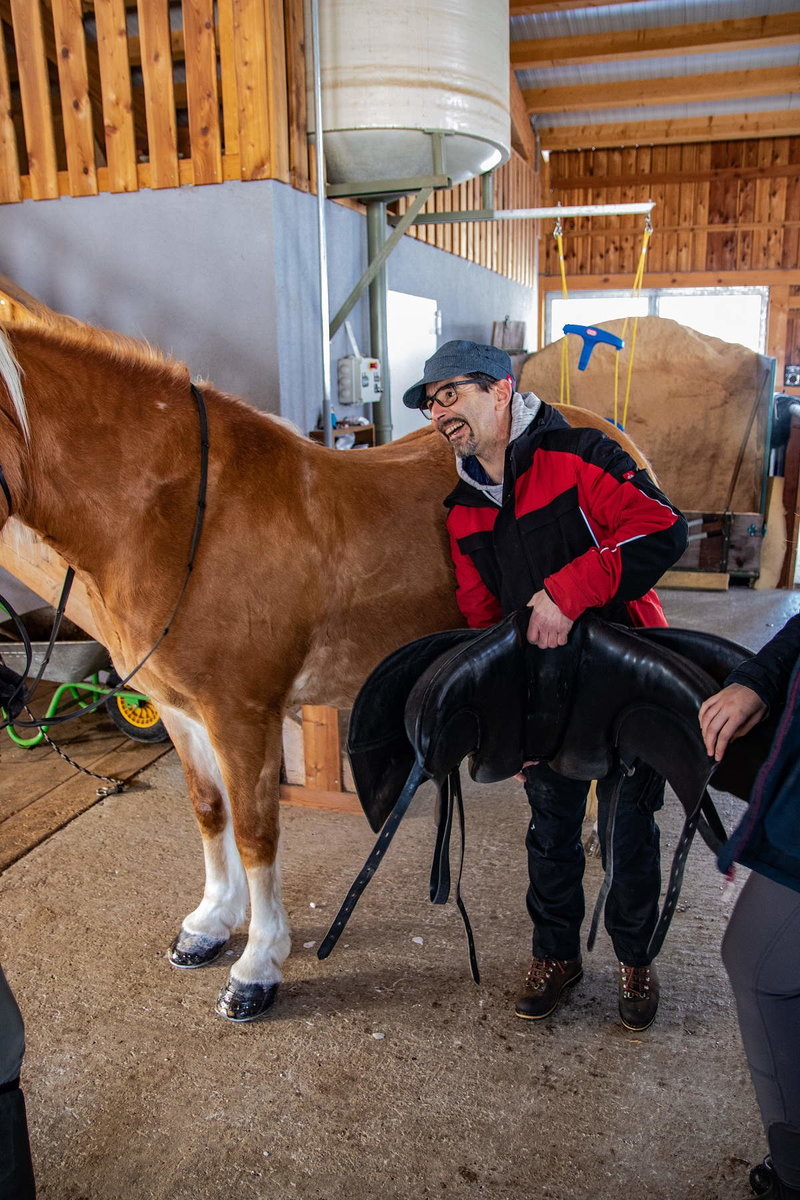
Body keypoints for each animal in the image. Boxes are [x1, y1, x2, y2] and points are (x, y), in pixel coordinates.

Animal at [0, 312, 652, 1022]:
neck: (181, 515)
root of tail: (614, 435)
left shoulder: (241, 716)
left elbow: (255, 832)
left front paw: (257, 966)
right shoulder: (180, 711)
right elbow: (210, 811)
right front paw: (208, 926)